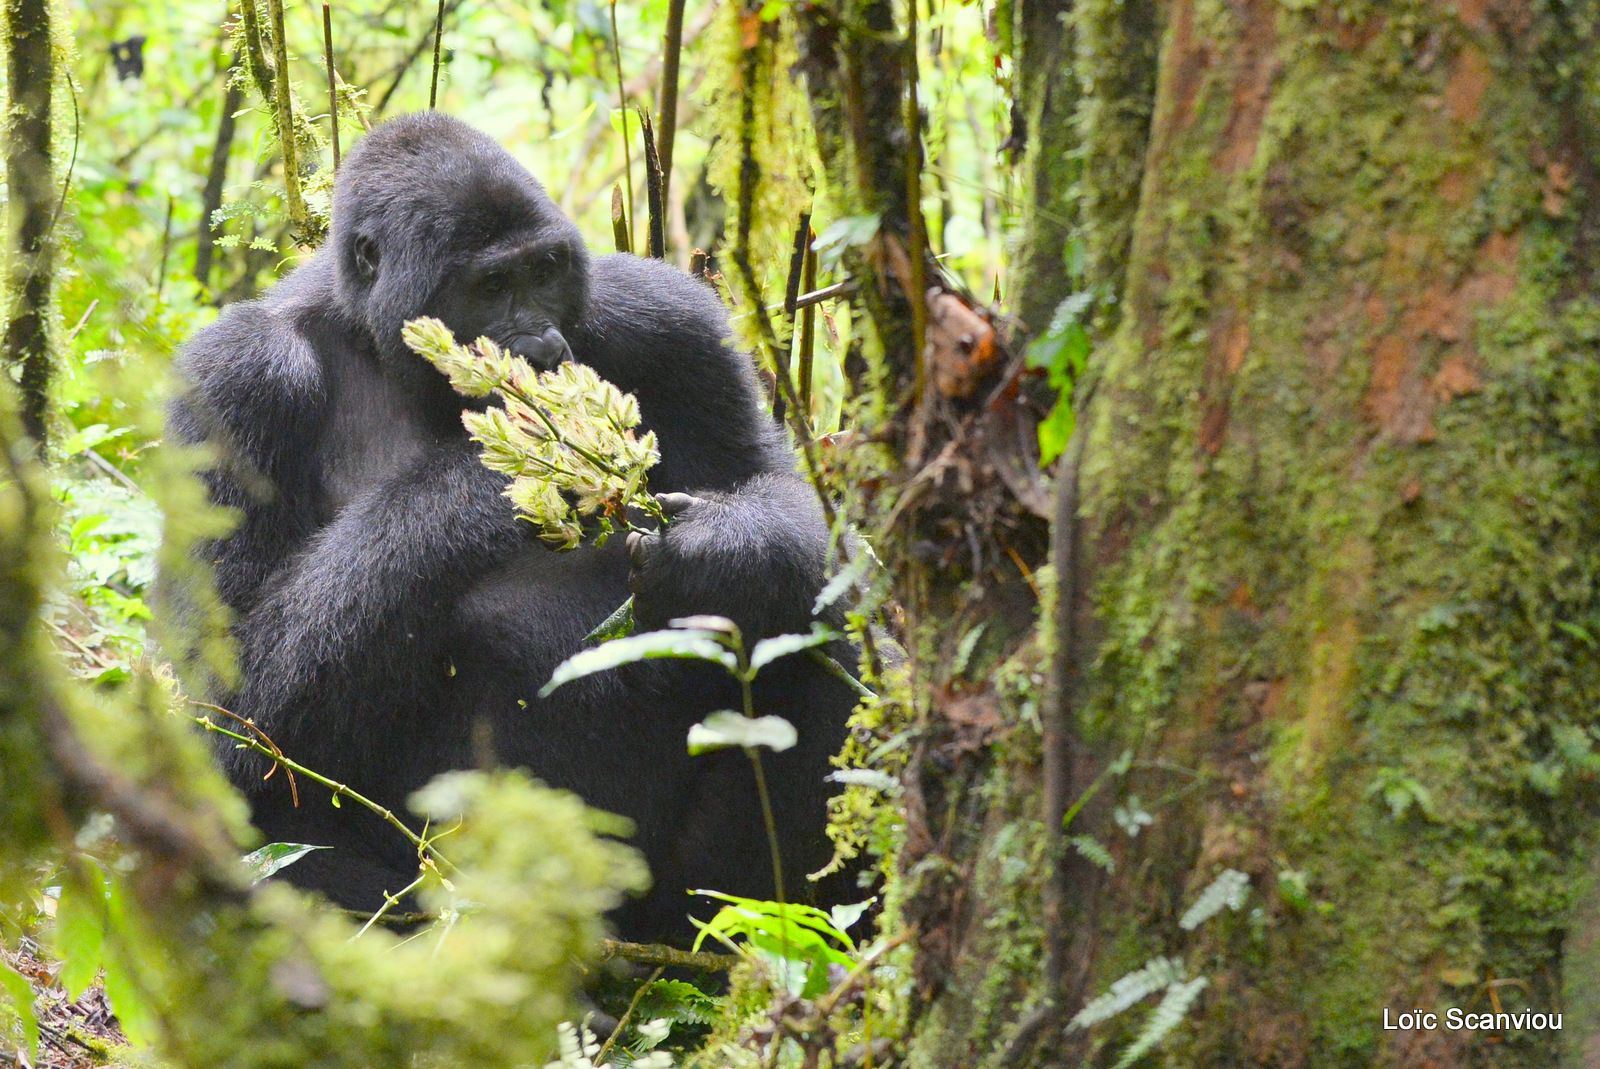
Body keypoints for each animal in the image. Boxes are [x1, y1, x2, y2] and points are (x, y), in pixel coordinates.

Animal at [175, 112, 864, 940]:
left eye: (546, 271)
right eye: (490, 287)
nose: (537, 348)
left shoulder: (668, 316)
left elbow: (785, 496)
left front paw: (723, 553)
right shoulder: (237, 377)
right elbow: (224, 702)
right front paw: (496, 471)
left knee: (815, 625)